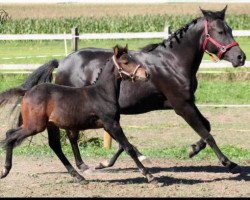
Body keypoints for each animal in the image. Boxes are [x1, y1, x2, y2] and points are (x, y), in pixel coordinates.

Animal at [0, 45, 155, 183]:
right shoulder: (111, 124)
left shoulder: (109, 125)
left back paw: (79, 177)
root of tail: (27, 92)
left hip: (48, 125)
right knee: (11, 135)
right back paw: (5, 170)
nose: (146, 74)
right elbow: (128, 147)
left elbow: (124, 146)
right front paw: (149, 176)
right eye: (126, 62)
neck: (102, 93)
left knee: (52, 145)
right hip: (35, 126)